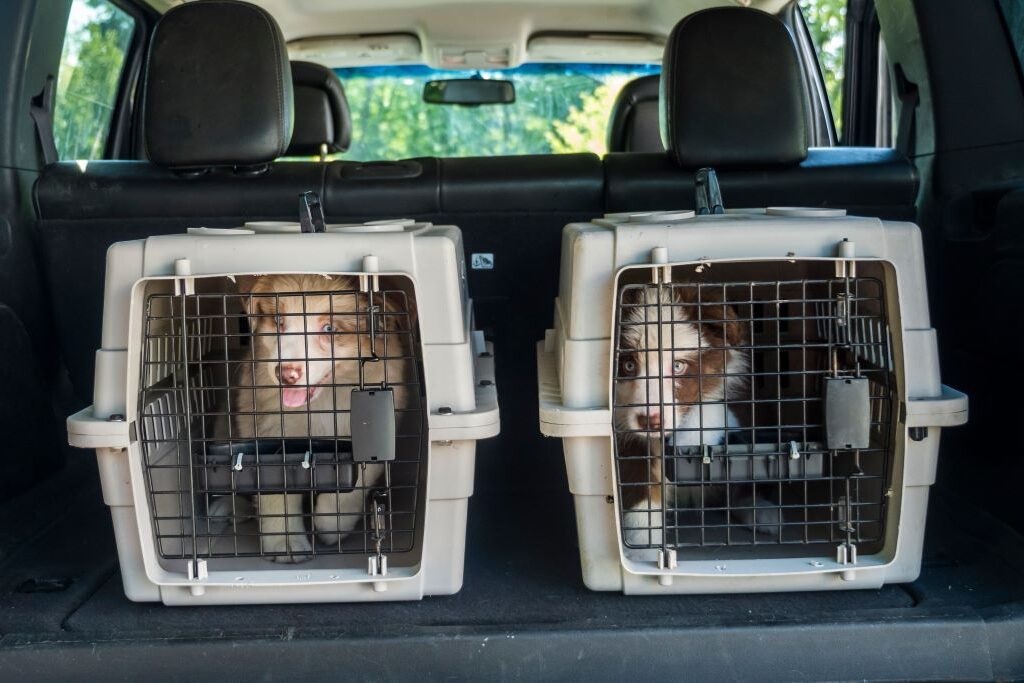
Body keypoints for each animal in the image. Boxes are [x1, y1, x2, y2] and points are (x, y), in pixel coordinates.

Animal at [230, 274, 409, 565]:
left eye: (330, 328)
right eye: (279, 321)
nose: (286, 374)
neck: (322, 402)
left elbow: (358, 479)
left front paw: (331, 525)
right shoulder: (265, 425)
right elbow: (274, 491)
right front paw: (286, 544)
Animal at [606, 284, 774, 548]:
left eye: (678, 366)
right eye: (628, 366)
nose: (651, 421)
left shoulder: (742, 397)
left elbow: (711, 403)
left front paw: (689, 441)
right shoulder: (626, 438)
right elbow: (641, 496)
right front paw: (647, 547)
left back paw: (762, 512)